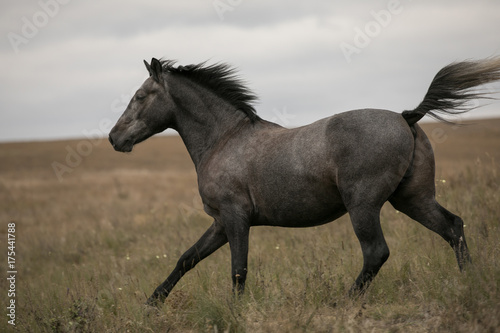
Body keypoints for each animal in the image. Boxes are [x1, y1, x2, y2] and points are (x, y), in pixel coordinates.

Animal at [108, 55, 500, 304]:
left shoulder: (235, 219)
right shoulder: (220, 223)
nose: (114, 138)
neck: (224, 139)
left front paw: (236, 312)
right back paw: (469, 283)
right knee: (452, 227)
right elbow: (186, 259)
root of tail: (407, 116)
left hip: (364, 206)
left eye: (139, 96)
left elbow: (238, 270)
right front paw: (151, 304)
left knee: (376, 252)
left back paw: (343, 302)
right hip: (412, 199)